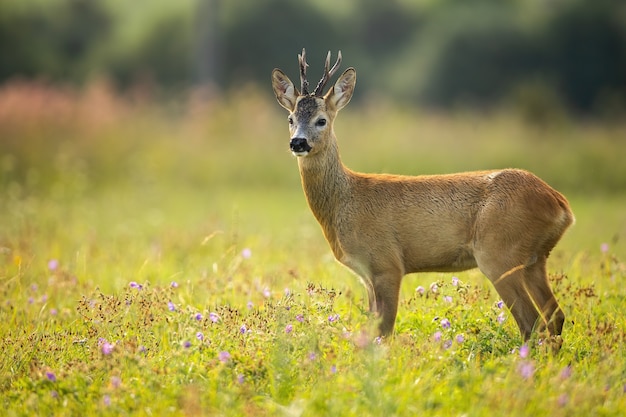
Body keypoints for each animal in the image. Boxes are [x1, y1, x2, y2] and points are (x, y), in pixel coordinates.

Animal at [270, 49, 572, 342]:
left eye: (321, 120)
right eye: (290, 118)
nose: (298, 142)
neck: (345, 201)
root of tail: (561, 205)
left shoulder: (387, 263)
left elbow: (384, 332)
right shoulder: (367, 275)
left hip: (499, 253)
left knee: (532, 323)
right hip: (535, 259)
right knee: (555, 317)